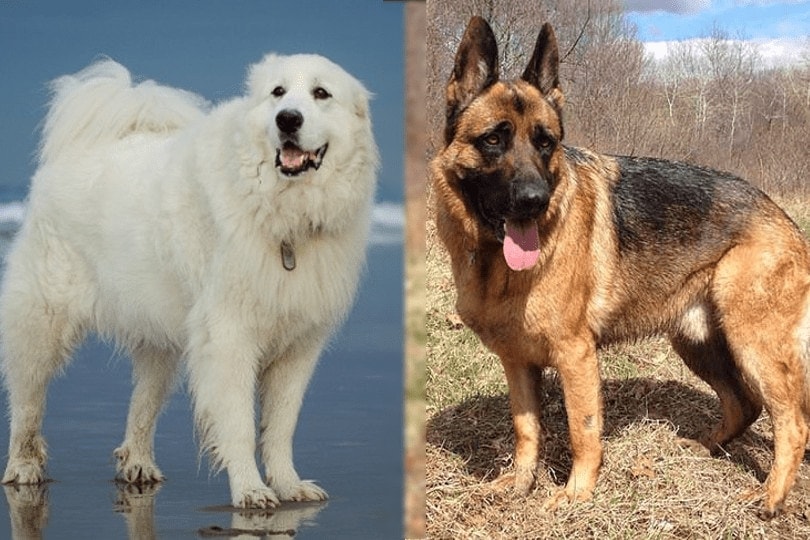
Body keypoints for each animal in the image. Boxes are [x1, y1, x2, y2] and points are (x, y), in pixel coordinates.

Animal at [0, 52, 378, 508]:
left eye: (322, 93)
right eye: (278, 93)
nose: (288, 119)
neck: (283, 214)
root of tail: (75, 152)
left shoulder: (299, 346)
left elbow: (280, 426)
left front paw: (289, 485)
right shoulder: (230, 338)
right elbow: (239, 423)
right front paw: (250, 489)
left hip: (158, 340)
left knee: (143, 405)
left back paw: (137, 464)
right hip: (42, 323)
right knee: (27, 401)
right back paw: (23, 468)